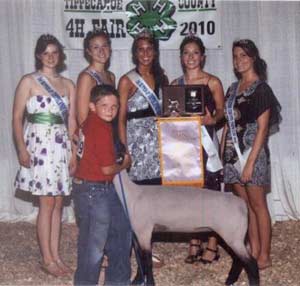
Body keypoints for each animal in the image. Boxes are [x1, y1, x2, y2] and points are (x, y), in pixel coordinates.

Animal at [113, 170, 258, 286]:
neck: (132, 195)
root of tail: (242, 204)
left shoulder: (145, 231)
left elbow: (147, 260)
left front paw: (149, 283)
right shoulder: (137, 233)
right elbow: (140, 259)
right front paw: (137, 280)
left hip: (233, 236)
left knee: (251, 263)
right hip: (235, 236)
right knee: (239, 260)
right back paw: (230, 280)